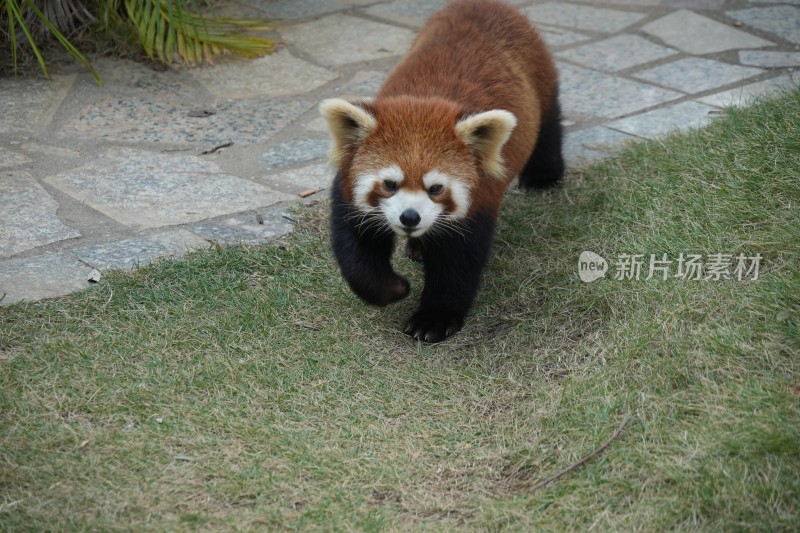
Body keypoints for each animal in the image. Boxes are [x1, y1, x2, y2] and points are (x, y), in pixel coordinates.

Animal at [318, 0, 564, 340]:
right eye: (390, 184)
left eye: (435, 188)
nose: (410, 217)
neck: (426, 103)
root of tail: (485, 4)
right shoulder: (350, 191)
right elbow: (357, 253)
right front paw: (392, 288)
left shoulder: (478, 203)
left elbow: (457, 266)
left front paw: (433, 319)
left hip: (539, 74)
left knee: (549, 121)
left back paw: (543, 176)